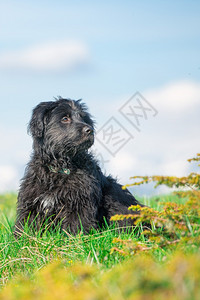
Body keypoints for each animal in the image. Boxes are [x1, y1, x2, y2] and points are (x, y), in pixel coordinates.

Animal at [14, 98, 142, 237]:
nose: (89, 130)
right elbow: (27, 223)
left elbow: (76, 225)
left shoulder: (79, 202)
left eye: (83, 118)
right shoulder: (32, 202)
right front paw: (22, 238)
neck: (61, 167)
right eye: (65, 118)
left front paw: (73, 239)